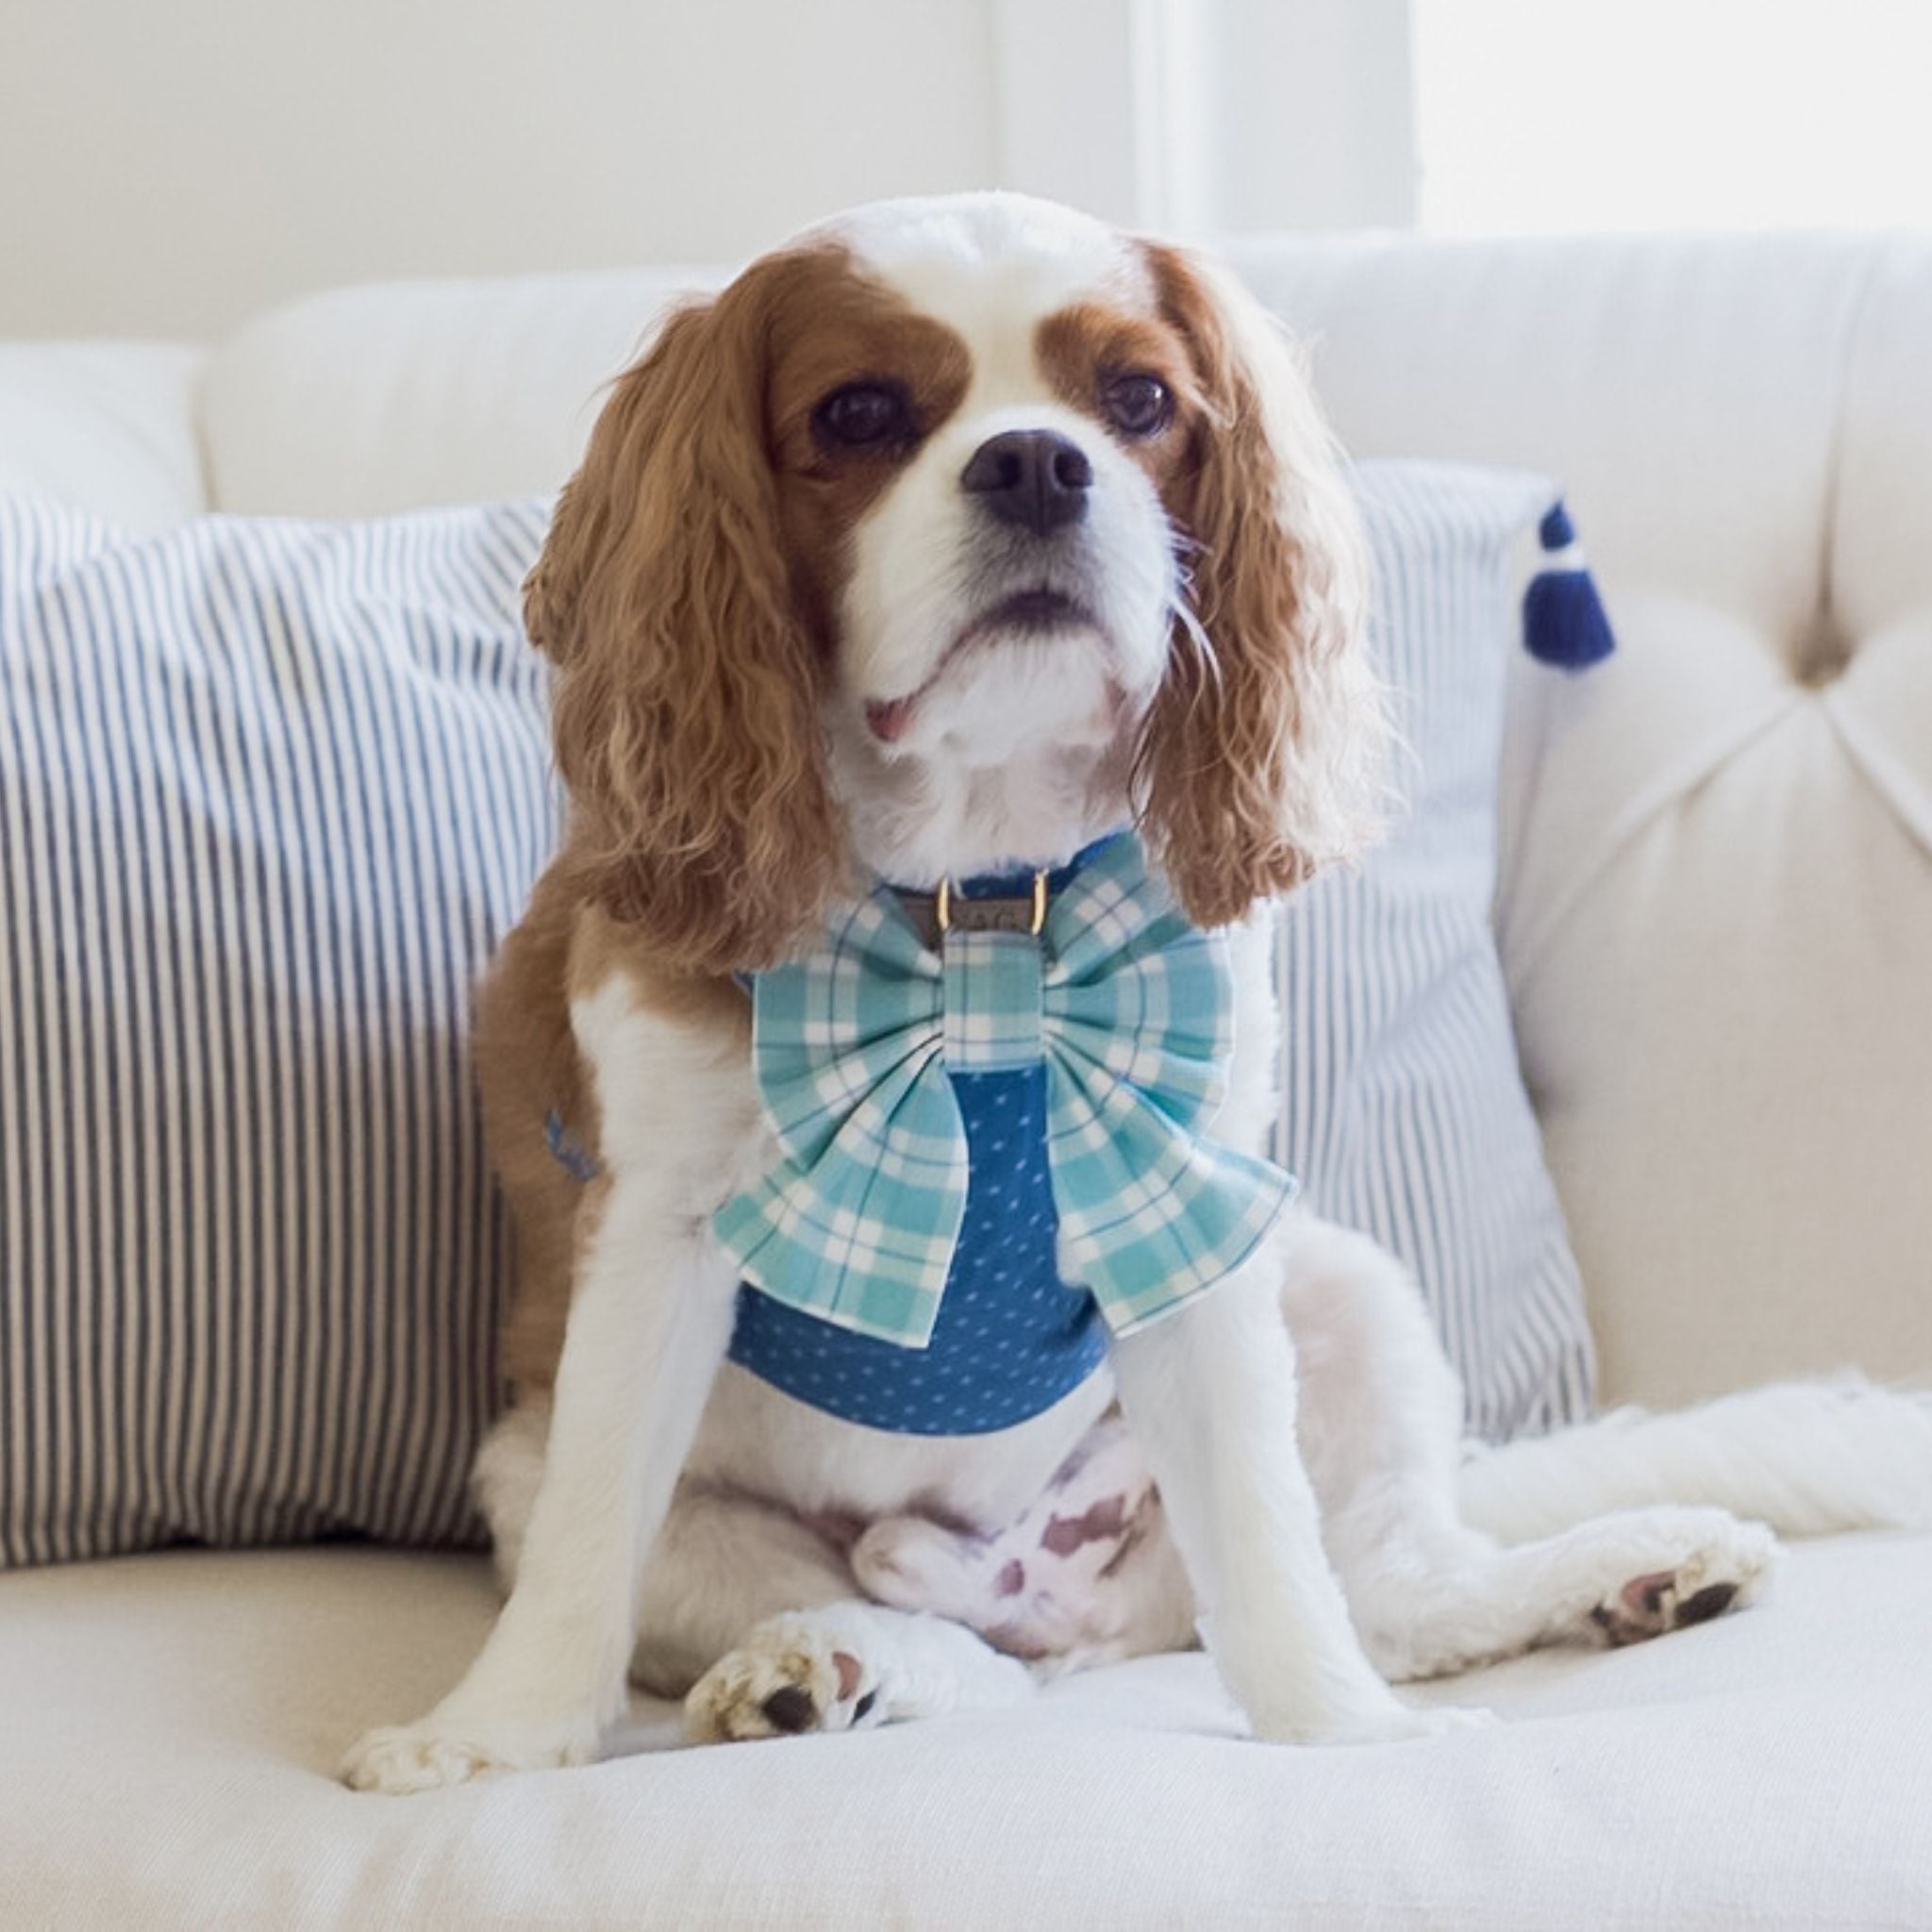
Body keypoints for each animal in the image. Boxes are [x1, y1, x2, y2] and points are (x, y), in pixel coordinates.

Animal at [347, 188, 1932, 1785]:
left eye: (1140, 402)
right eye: (860, 413)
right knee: (955, 1641)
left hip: (1346, 1289)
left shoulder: (1187, 1209)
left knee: (1394, 1586)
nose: (1038, 461)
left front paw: (1340, 1734)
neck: (982, 912)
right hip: (541, 1466)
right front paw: (492, 1739)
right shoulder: (651, 1246)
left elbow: (1270, 1537)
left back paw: (1628, 1570)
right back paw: (820, 1662)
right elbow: (589, 1538)